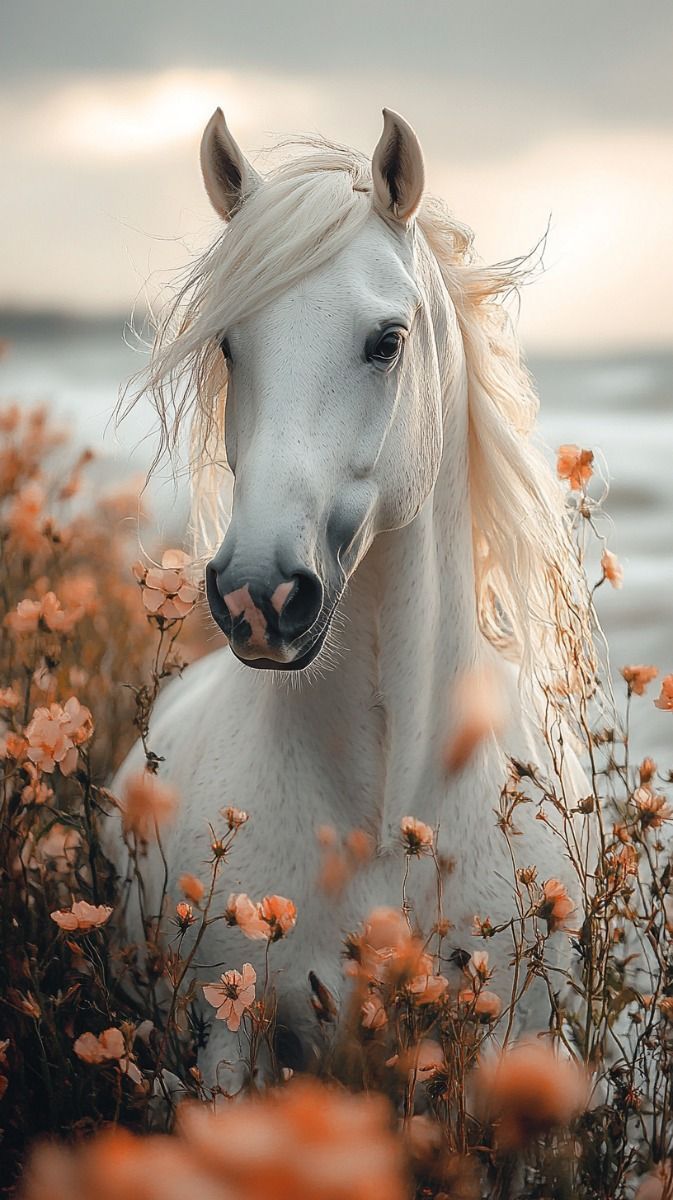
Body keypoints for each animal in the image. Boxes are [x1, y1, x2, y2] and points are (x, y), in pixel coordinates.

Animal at [113, 107, 593, 1085]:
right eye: (229, 343)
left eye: (386, 341)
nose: (258, 594)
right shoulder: (231, 1037)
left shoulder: (511, 1041)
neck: (378, 819)